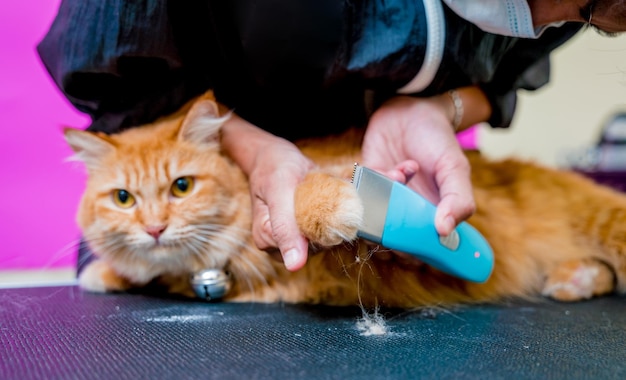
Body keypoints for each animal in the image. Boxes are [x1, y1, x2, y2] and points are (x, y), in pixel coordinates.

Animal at [62, 92, 620, 308]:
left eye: (182, 186)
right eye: (123, 198)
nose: (154, 227)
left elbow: (310, 189)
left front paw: (333, 207)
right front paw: (106, 272)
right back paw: (574, 278)